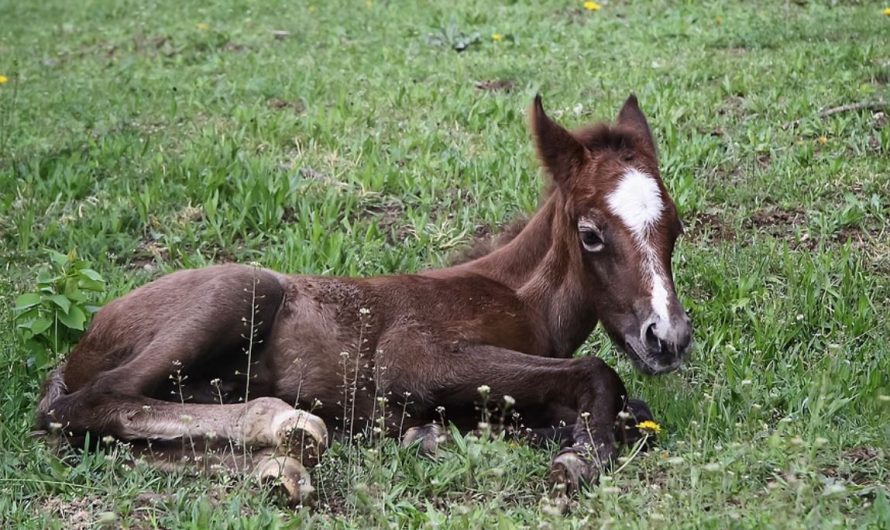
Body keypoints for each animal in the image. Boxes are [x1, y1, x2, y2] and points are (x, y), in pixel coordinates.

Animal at [36, 94, 692, 503]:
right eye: (591, 234)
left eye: (676, 227)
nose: (668, 338)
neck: (518, 297)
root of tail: (81, 344)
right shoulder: (412, 359)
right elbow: (599, 373)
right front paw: (579, 457)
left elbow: (629, 411)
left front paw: (444, 435)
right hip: (243, 289)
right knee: (87, 406)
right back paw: (284, 423)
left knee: (112, 439)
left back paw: (281, 468)